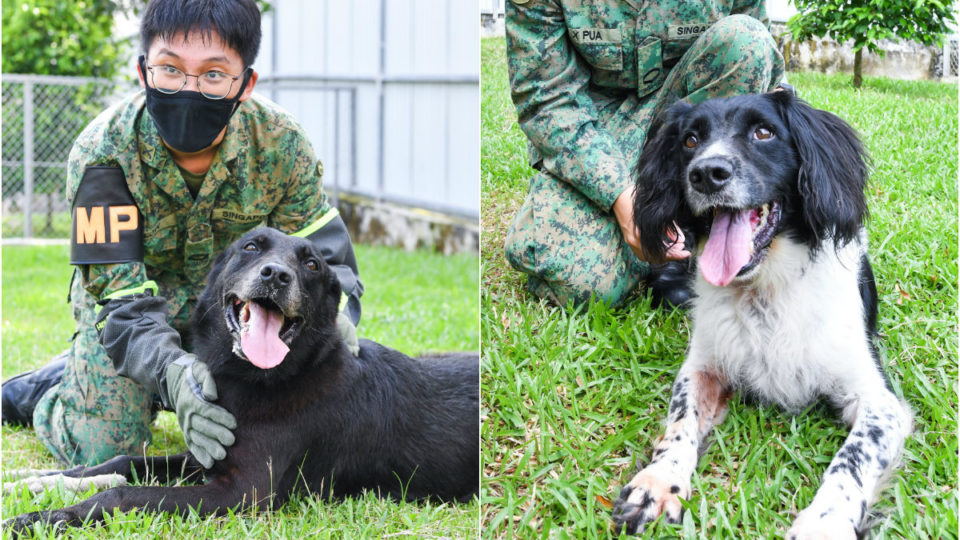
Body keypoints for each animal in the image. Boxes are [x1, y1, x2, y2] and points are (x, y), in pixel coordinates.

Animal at [4, 227, 476, 536]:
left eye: (311, 264)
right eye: (251, 247)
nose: (276, 275)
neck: (268, 378)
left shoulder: (240, 493)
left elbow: (123, 495)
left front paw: (43, 518)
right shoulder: (206, 452)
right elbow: (122, 464)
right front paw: (37, 480)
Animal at [612, 90, 912, 536]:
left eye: (764, 132)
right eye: (690, 140)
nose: (706, 174)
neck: (765, 288)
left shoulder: (879, 400)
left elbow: (852, 459)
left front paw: (824, 522)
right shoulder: (703, 366)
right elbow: (681, 421)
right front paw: (658, 482)